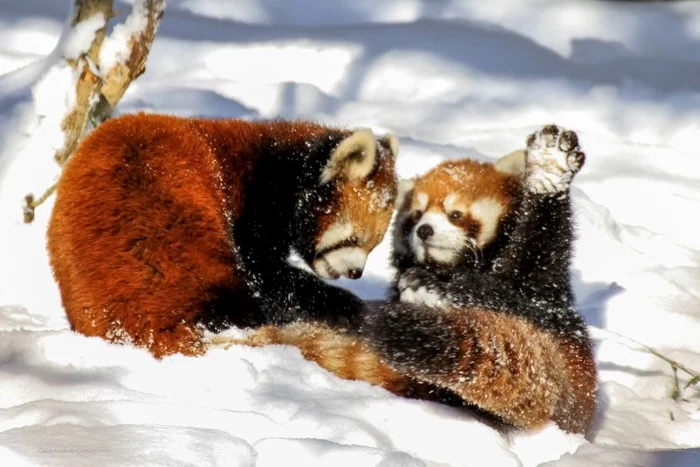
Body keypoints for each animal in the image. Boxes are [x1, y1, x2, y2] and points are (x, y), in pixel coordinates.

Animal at [46, 113, 400, 358]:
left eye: (374, 246)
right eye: (353, 239)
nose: (356, 273)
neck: (282, 169)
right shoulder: (252, 209)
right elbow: (268, 277)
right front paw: (345, 305)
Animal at [219, 125, 596, 438]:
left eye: (455, 214)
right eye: (416, 214)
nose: (424, 230)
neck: (451, 266)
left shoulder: (543, 292)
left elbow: (529, 284)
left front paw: (549, 173)